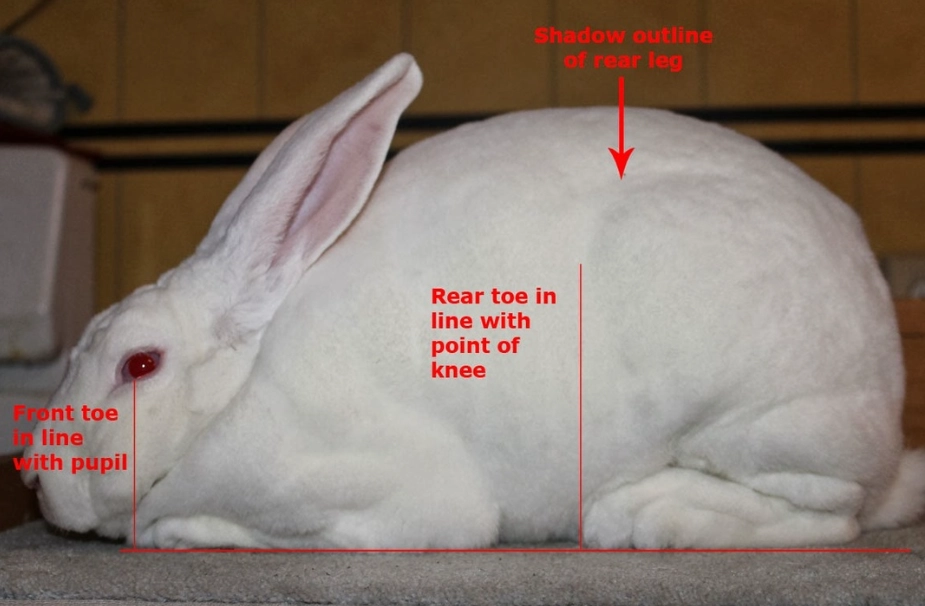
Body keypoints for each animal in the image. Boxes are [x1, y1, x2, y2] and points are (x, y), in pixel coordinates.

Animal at [21, 53, 925, 549]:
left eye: (140, 364)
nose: (34, 474)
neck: (231, 396)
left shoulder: (388, 495)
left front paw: (178, 530)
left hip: (765, 421)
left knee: (828, 517)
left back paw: (638, 514)